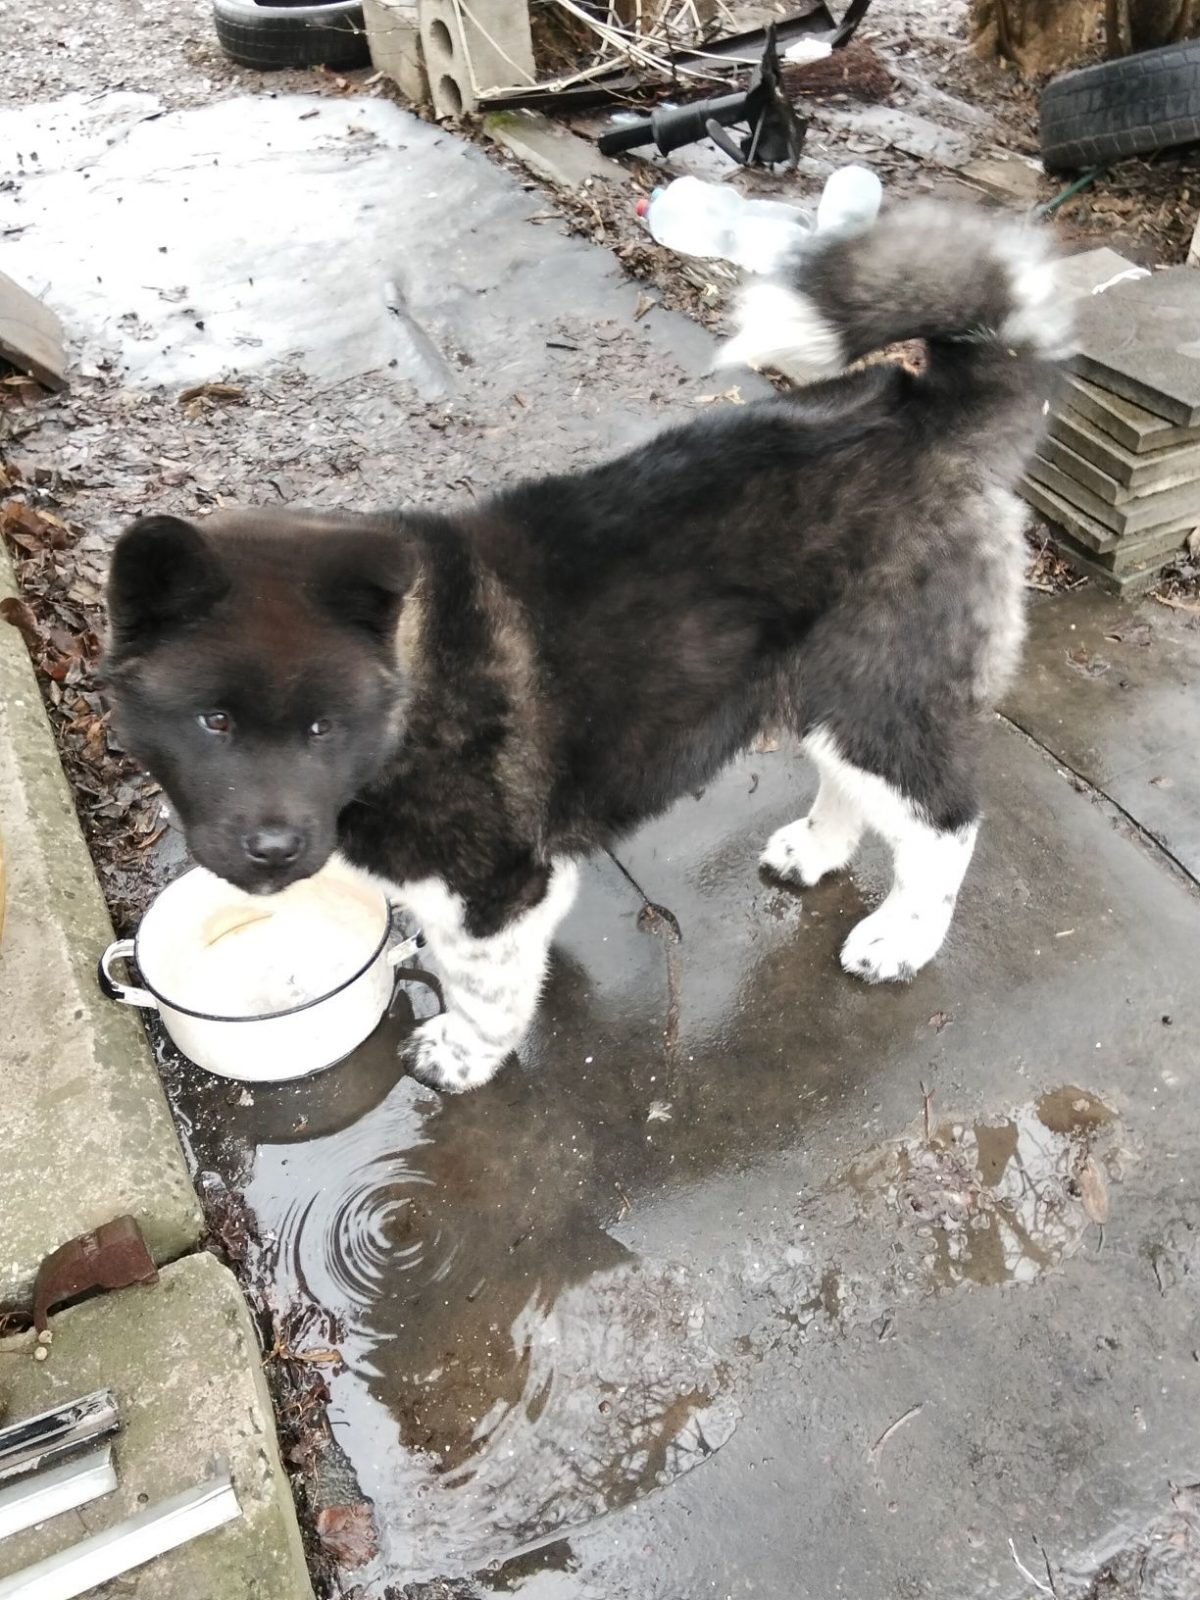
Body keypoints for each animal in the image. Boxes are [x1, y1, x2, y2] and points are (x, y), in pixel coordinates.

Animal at [104, 202, 1069, 1093]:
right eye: (214, 722)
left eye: (321, 729)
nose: (271, 853)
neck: (409, 691)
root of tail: (927, 416)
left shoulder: (496, 884)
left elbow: (482, 986)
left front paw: (462, 1055)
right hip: (824, 683)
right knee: (856, 786)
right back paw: (817, 851)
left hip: (882, 688)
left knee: (946, 823)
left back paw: (902, 940)